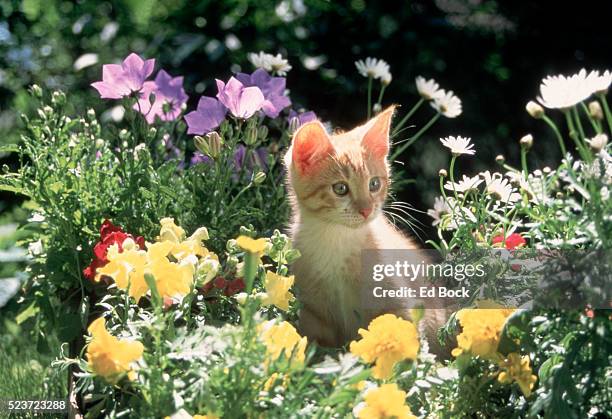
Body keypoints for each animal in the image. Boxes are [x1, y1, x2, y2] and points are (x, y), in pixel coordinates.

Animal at [284, 106, 448, 356]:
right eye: (340, 188)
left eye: (374, 184)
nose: (367, 210)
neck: (336, 240)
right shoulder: (313, 312)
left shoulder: (397, 304)